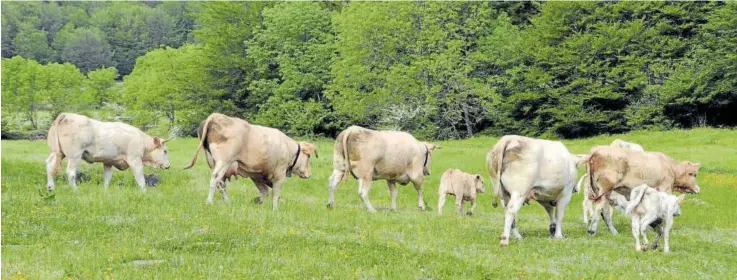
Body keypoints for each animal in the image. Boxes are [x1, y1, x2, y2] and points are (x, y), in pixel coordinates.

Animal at [184, 112, 316, 209]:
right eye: (309, 156)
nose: (310, 174)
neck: (288, 148)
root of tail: (216, 116)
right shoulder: (280, 173)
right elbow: (276, 193)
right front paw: (275, 209)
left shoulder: (256, 174)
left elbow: (264, 191)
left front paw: (258, 202)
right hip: (224, 161)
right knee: (215, 178)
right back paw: (209, 202)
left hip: (213, 161)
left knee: (221, 182)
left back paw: (227, 202)